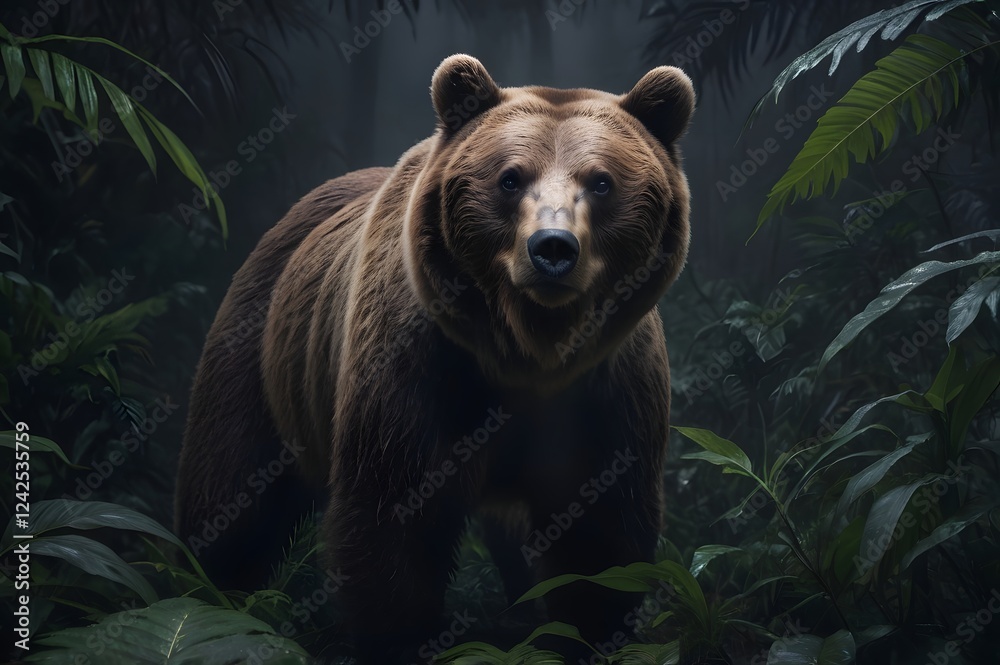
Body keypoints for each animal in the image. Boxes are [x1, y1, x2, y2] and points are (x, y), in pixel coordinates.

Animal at [175, 54, 694, 663]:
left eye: (602, 181)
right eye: (510, 177)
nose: (552, 249)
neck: (527, 352)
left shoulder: (607, 390)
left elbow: (601, 538)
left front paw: (589, 635)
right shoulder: (421, 365)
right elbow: (394, 521)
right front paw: (400, 637)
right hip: (264, 356)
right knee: (230, 494)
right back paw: (205, 595)